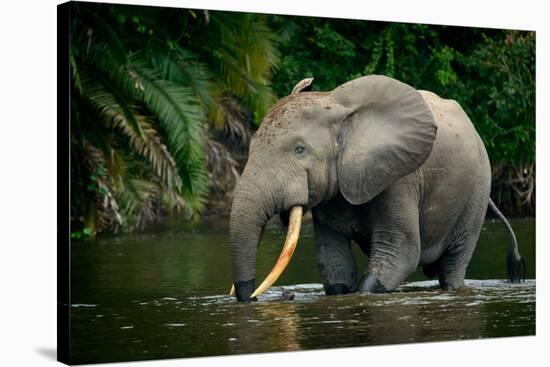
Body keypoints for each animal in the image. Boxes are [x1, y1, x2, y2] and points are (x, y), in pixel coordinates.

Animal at [230, 74, 528, 302]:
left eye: (299, 150)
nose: (254, 297)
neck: (334, 103)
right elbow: (334, 262)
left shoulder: (400, 178)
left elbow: (401, 253)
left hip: (477, 189)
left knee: (453, 265)